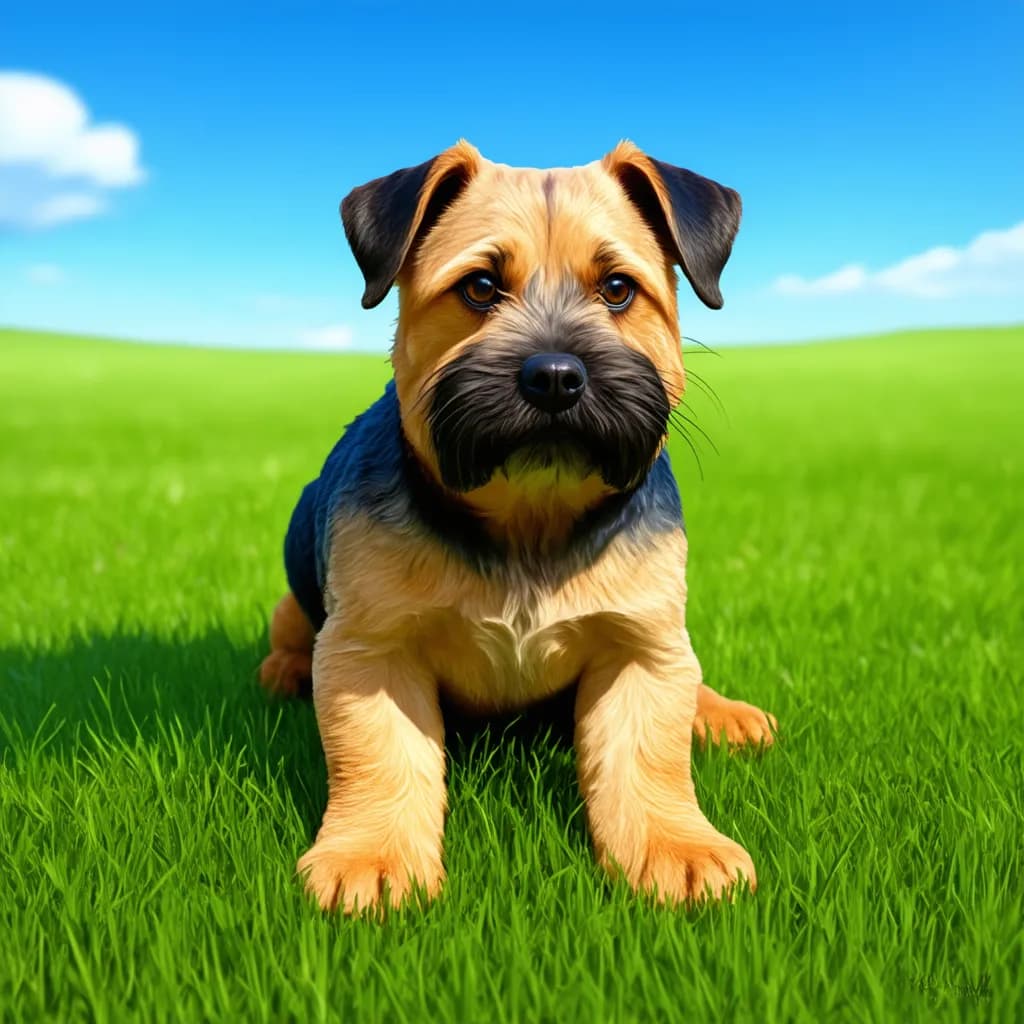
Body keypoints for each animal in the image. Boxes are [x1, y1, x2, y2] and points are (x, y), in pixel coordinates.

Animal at [262, 140, 774, 917]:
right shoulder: (370, 649)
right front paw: (371, 857)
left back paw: (717, 712)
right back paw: (284, 667)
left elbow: (647, 760)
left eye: (618, 288)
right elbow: (380, 757)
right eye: (479, 288)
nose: (556, 376)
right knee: (293, 622)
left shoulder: (640, 646)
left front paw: (676, 848)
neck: (530, 517)